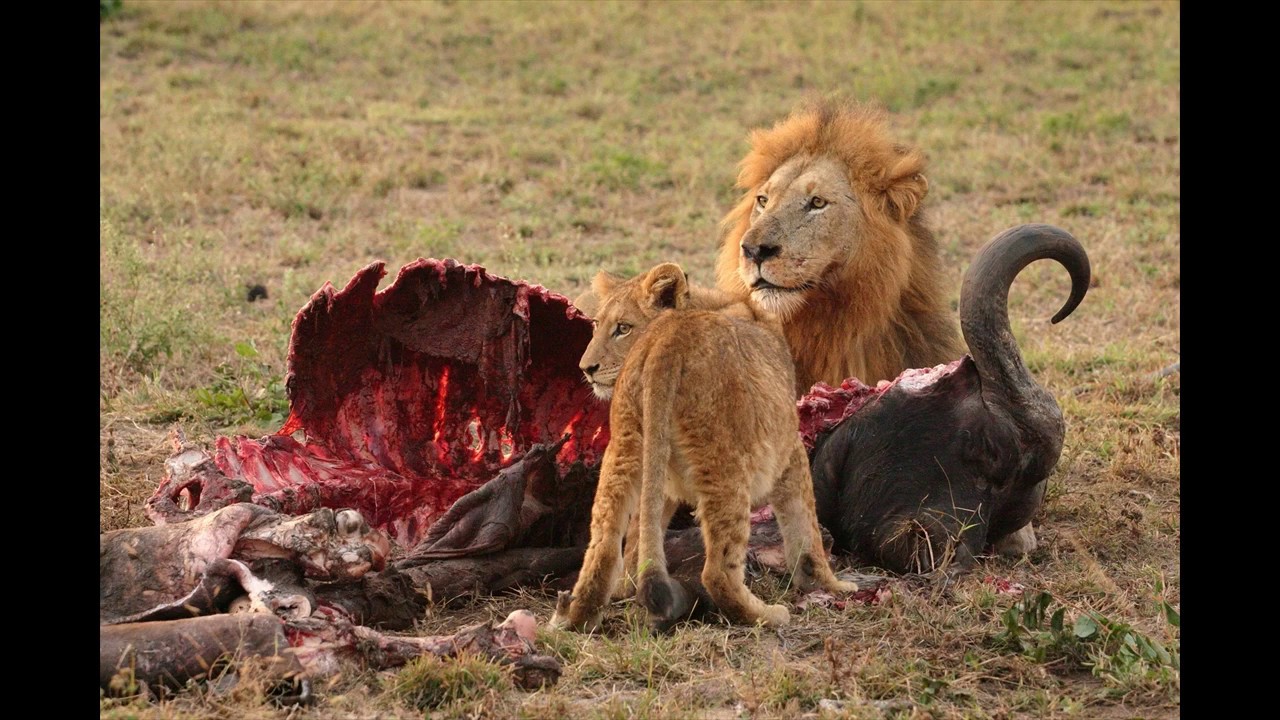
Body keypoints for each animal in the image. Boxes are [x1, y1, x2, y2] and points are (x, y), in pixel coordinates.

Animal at [549, 263, 857, 633]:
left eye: (621, 328)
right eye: (597, 325)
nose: (586, 368)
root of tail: (668, 339)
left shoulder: (662, 476)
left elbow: (642, 534)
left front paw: (628, 586)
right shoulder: (789, 448)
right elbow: (805, 526)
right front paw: (830, 584)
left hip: (625, 449)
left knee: (604, 546)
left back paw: (578, 616)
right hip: (725, 463)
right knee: (718, 572)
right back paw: (765, 615)